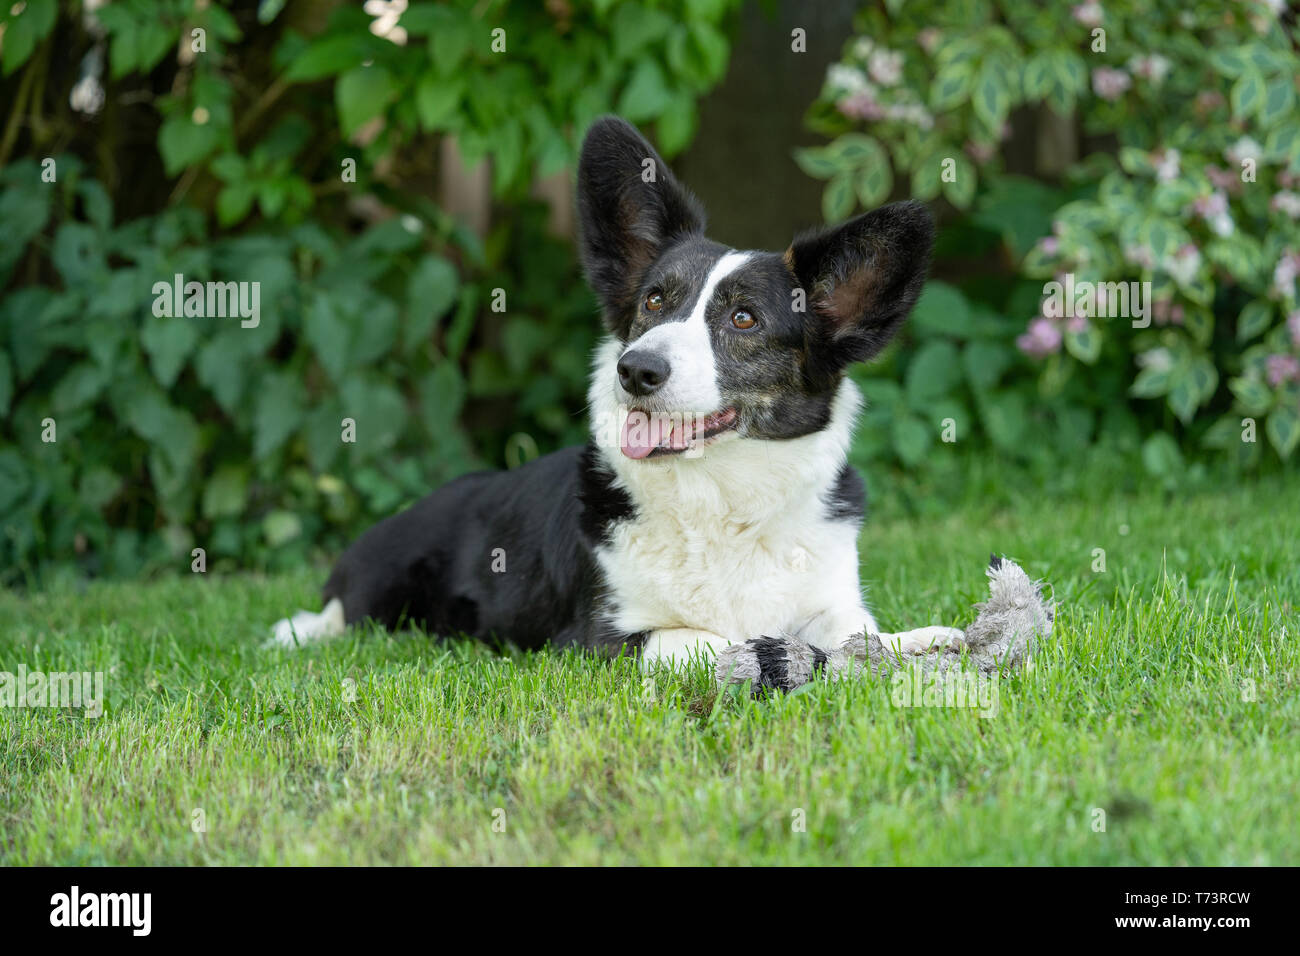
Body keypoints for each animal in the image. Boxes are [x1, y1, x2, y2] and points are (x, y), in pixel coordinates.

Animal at [271, 119, 967, 671]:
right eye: (654, 301)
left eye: (744, 319)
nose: (636, 370)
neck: (721, 502)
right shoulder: (602, 639)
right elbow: (709, 638)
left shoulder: (832, 599)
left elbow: (859, 636)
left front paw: (924, 640)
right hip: (376, 596)